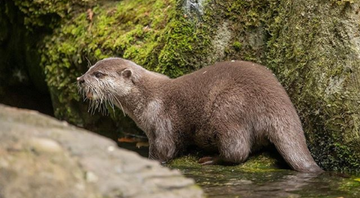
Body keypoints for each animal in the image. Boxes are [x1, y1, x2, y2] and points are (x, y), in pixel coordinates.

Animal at [77, 56, 322, 172]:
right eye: (89, 69)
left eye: (98, 74)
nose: (80, 79)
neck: (147, 99)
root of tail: (279, 101)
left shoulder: (161, 122)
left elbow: (164, 151)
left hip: (228, 107)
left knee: (237, 152)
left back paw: (210, 158)